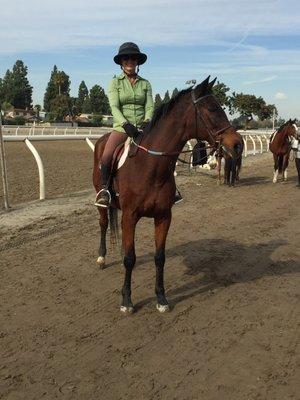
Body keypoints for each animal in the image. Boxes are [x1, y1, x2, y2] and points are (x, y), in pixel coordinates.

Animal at [92, 76, 238, 314]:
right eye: (212, 110)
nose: (237, 144)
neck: (150, 165)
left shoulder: (163, 217)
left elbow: (159, 257)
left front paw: (161, 298)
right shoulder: (130, 216)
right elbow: (130, 259)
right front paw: (127, 301)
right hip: (102, 199)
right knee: (103, 223)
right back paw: (101, 257)